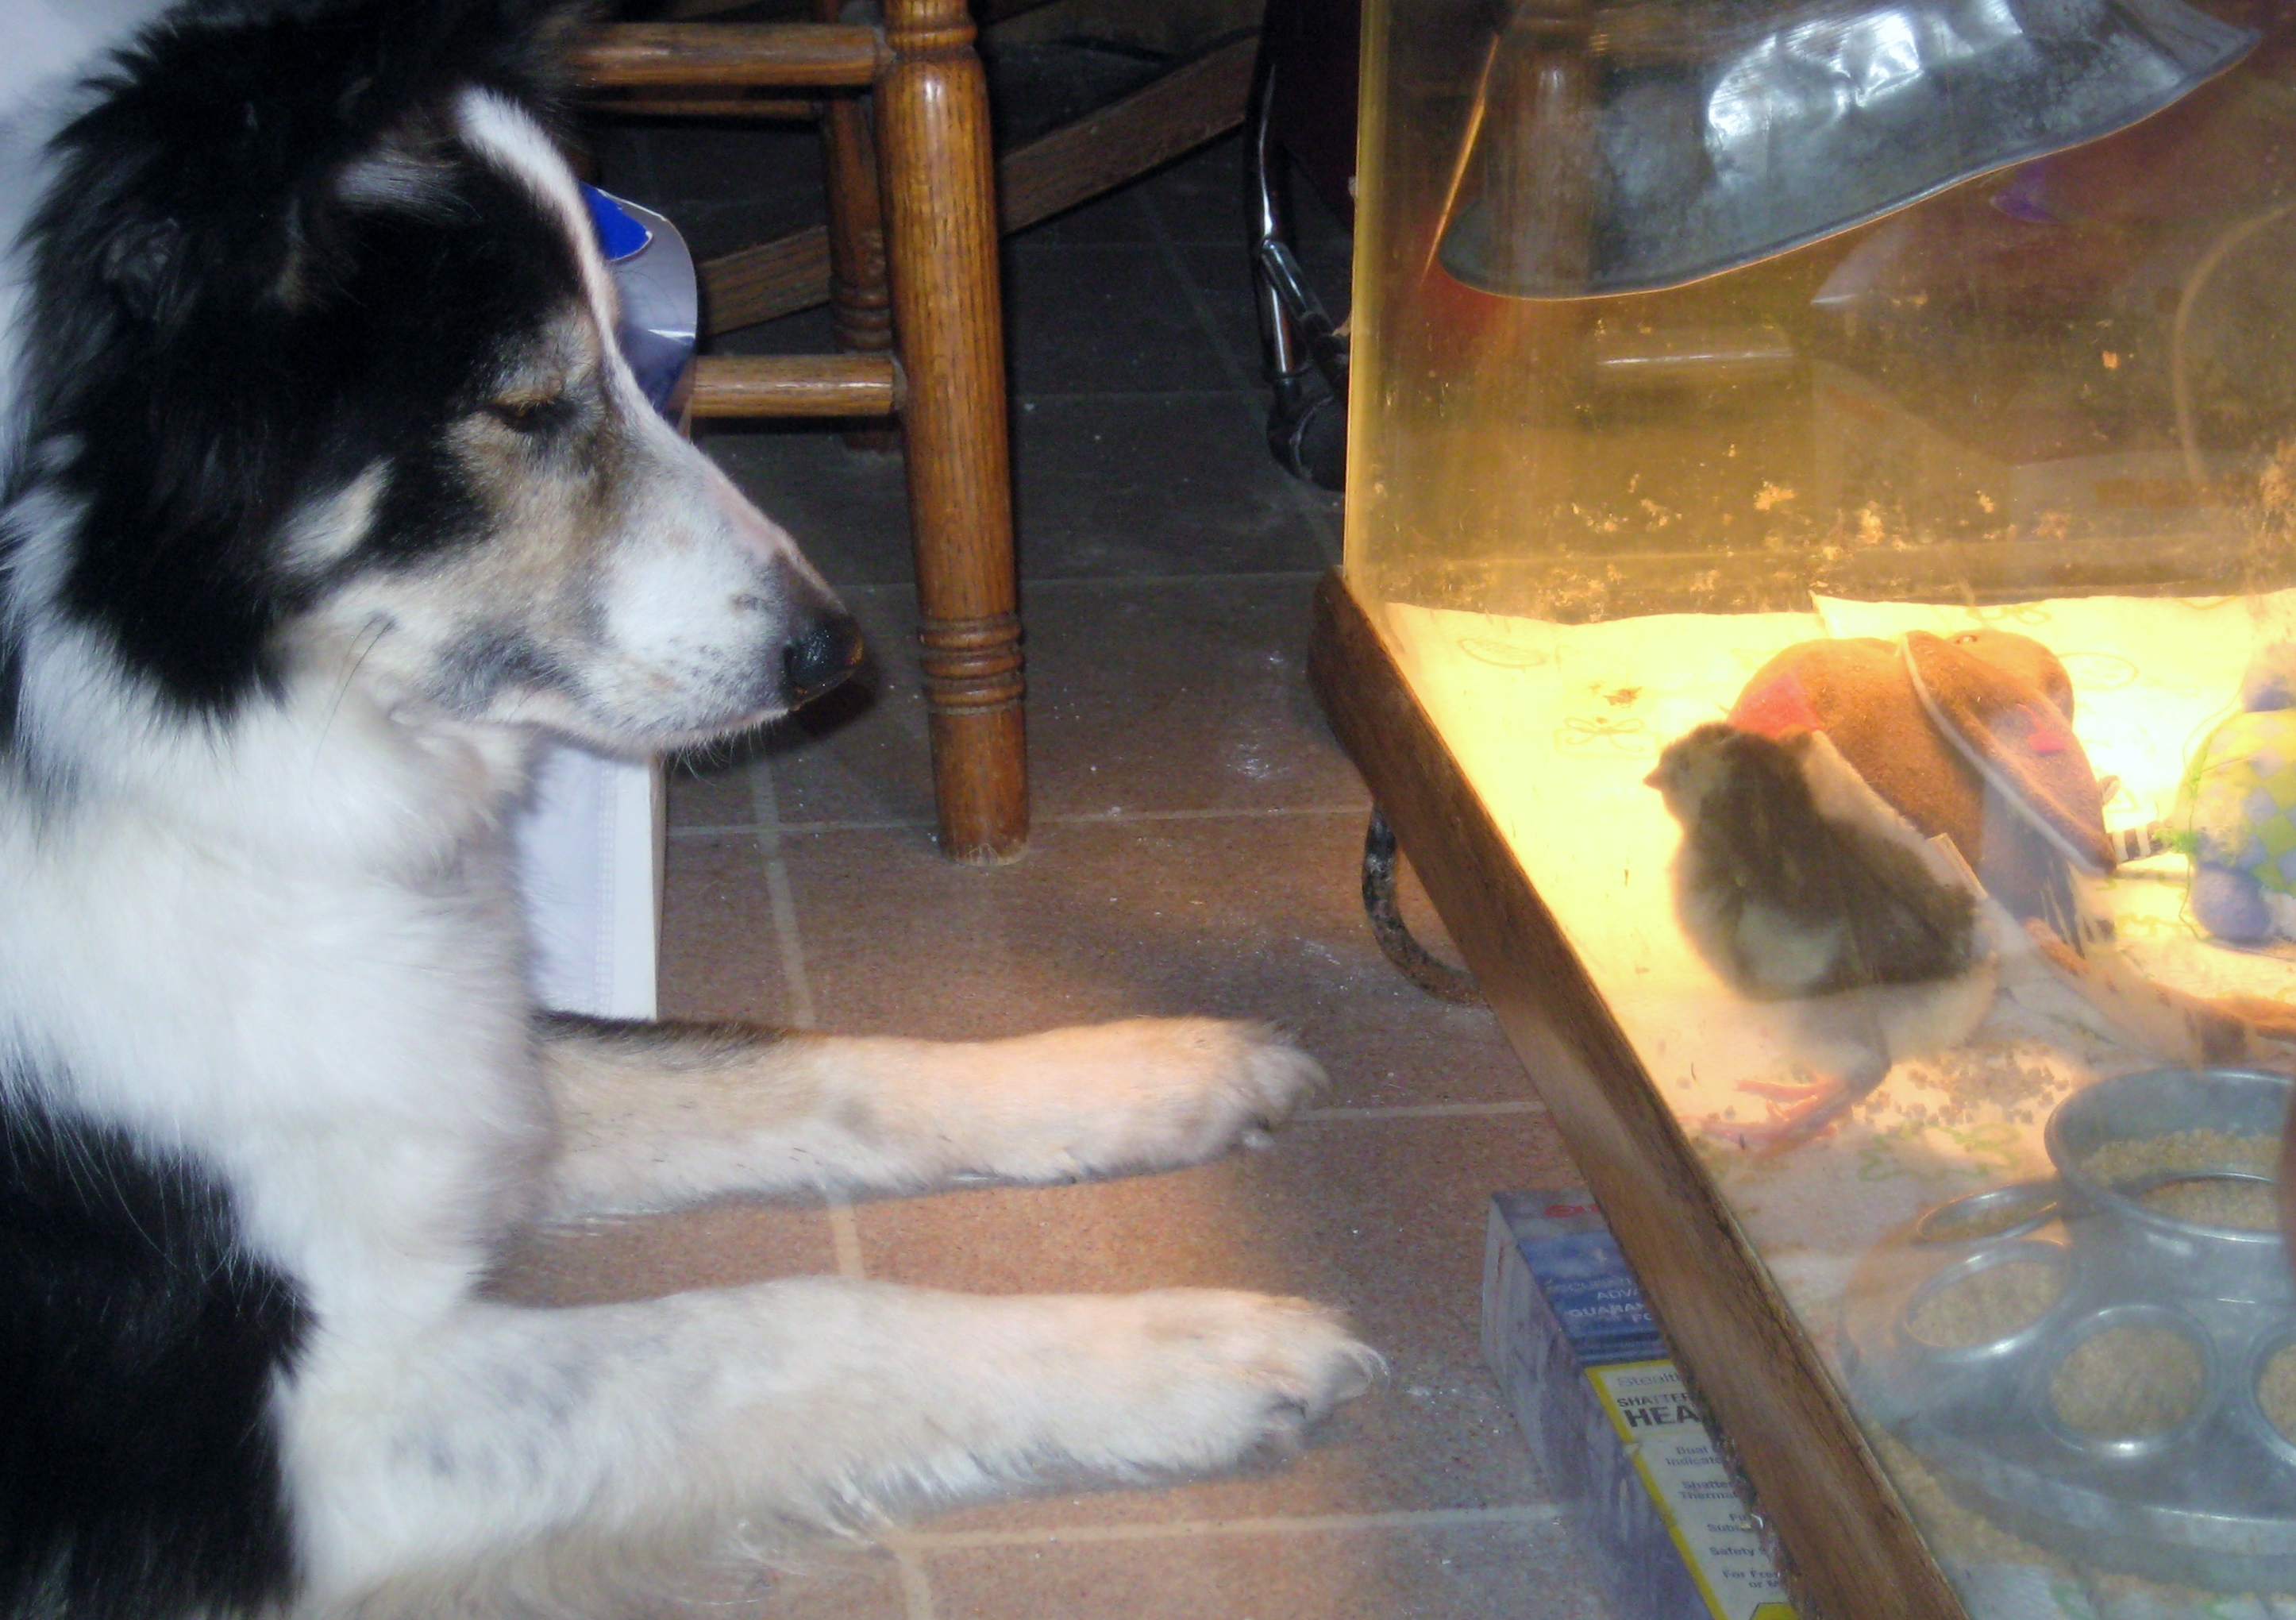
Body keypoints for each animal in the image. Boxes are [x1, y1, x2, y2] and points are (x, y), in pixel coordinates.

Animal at [0, 3, 1377, 1613]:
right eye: (527, 404)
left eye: (621, 347)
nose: (837, 654)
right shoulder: (291, 1443)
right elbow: (785, 1317)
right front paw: (1185, 1345)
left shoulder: (457, 1067)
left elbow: (789, 1062)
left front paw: (1151, 1069)